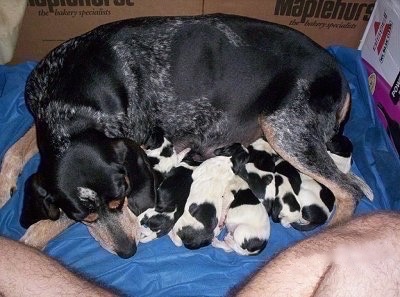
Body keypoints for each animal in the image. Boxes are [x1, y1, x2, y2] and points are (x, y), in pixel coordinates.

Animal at [0, 13, 372, 256]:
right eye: (86, 216)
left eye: (120, 200)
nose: (129, 252)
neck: (72, 106)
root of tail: (340, 73)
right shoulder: (41, 115)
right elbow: (15, 149)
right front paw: (5, 183)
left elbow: (45, 226)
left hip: (285, 129)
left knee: (349, 191)